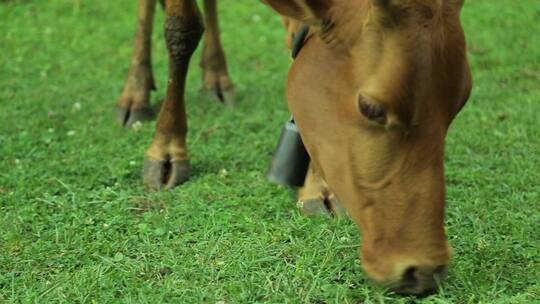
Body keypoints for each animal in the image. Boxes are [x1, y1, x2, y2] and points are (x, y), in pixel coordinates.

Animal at [116, 0, 470, 296]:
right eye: (371, 108)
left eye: (461, 101)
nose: (423, 269)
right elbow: (181, 26)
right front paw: (166, 146)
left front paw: (318, 187)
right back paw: (136, 93)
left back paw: (216, 78)